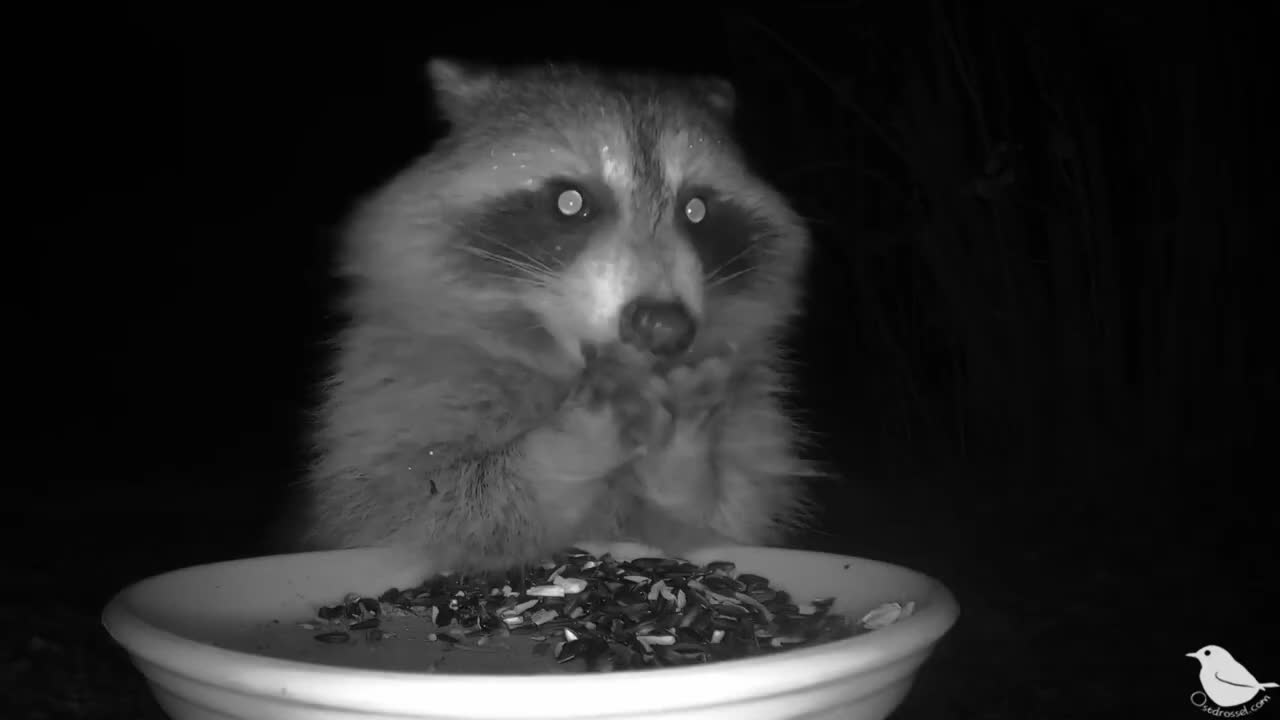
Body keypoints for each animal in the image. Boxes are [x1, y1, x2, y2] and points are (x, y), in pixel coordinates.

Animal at [290, 56, 819, 571]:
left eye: (696, 210)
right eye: (570, 202)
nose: (666, 327)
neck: (558, 360)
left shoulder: (752, 414)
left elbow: (728, 519)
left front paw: (684, 462)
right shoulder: (390, 392)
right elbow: (410, 508)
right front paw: (563, 451)